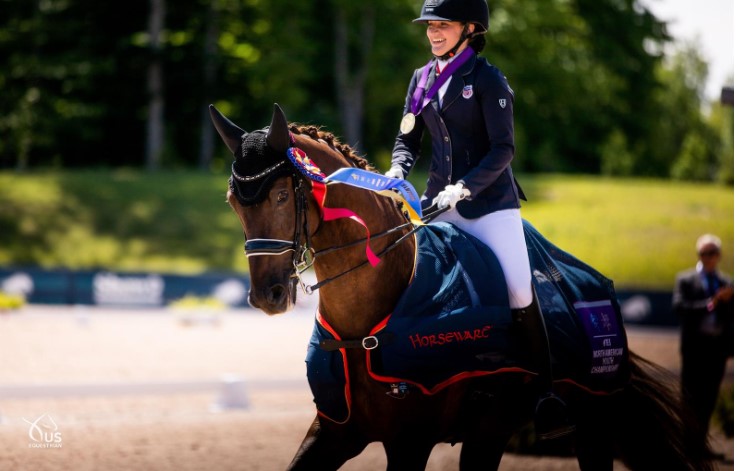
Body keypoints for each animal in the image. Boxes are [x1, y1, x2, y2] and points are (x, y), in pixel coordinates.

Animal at [208, 104, 712, 471]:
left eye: (281, 195)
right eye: (233, 201)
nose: (266, 296)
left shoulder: (410, 442)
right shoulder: (334, 429)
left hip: (591, 421)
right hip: (493, 432)